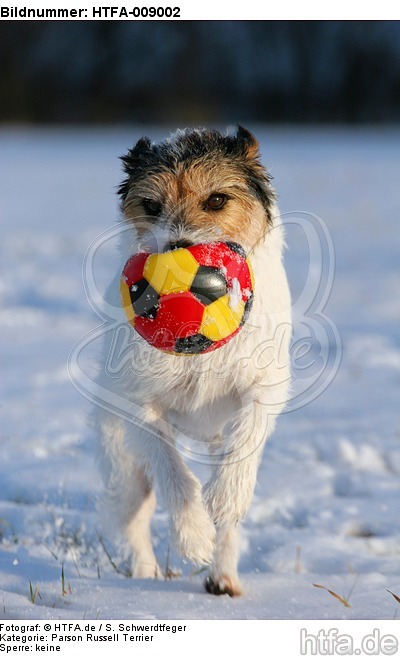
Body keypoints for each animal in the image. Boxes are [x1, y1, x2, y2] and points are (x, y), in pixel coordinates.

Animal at [95, 124, 292, 596]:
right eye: (151, 205)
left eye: (217, 200)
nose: (178, 248)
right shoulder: (141, 405)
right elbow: (174, 473)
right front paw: (193, 536)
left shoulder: (265, 386)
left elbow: (248, 438)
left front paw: (224, 499)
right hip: (124, 463)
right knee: (135, 517)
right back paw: (146, 572)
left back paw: (223, 575)